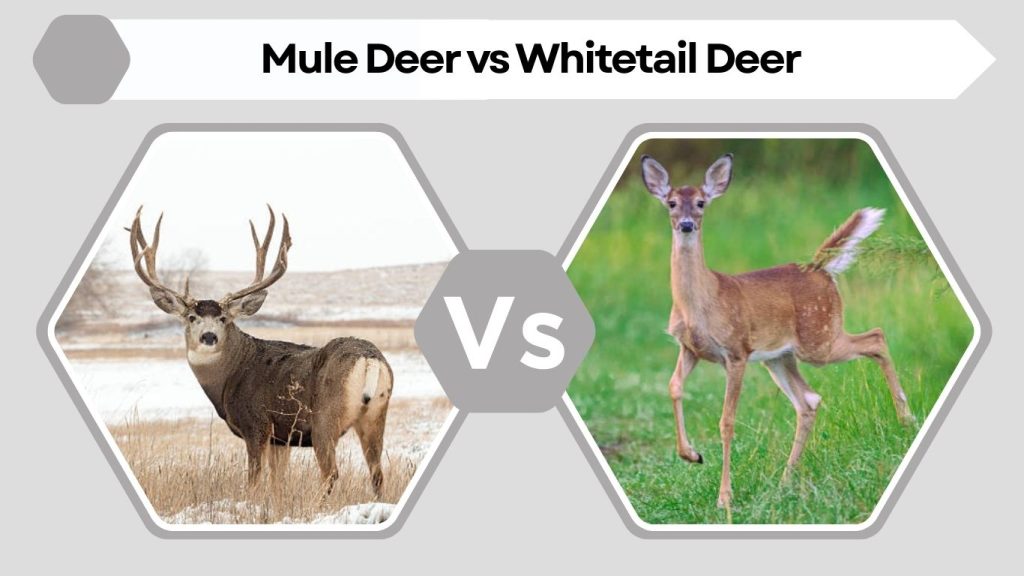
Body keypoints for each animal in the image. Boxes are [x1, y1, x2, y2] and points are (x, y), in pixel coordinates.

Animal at [127, 205, 393, 499]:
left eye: (223, 318)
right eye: (191, 317)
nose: (208, 337)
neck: (231, 375)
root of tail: (369, 360)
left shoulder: (257, 425)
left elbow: (254, 480)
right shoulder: (281, 436)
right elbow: (278, 482)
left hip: (325, 418)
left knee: (331, 473)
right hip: (376, 414)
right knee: (377, 473)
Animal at [640, 153, 915, 516]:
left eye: (700, 202)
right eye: (671, 203)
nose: (686, 224)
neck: (701, 304)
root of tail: (820, 268)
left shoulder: (737, 351)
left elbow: (727, 421)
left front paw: (724, 497)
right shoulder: (689, 348)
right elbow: (673, 387)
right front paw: (692, 455)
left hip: (819, 339)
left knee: (876, 337)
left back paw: (906, 418)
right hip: (780, 357)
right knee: (809, 400)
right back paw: (785, 481)